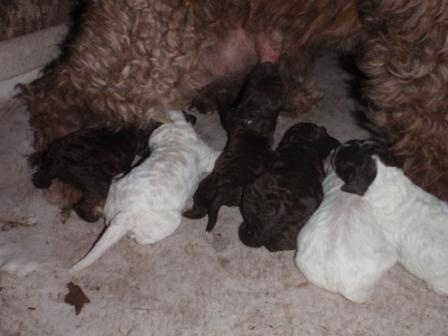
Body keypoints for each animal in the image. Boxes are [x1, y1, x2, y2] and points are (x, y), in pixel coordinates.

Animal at [71, 111, 220, 272]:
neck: (174, 132)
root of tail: (126, 214)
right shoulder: (208, 156)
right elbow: (217, 155)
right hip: (171, 221)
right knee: (143, 238)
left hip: (112, 199)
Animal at [183, 62, 286, 231]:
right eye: (277, 78)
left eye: (254, 77)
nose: (268, 63)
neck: (258, 114)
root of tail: (226, 188)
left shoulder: (231, 119)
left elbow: (225, 111)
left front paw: (223, 95)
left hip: (206, 186)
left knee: (200, 206)